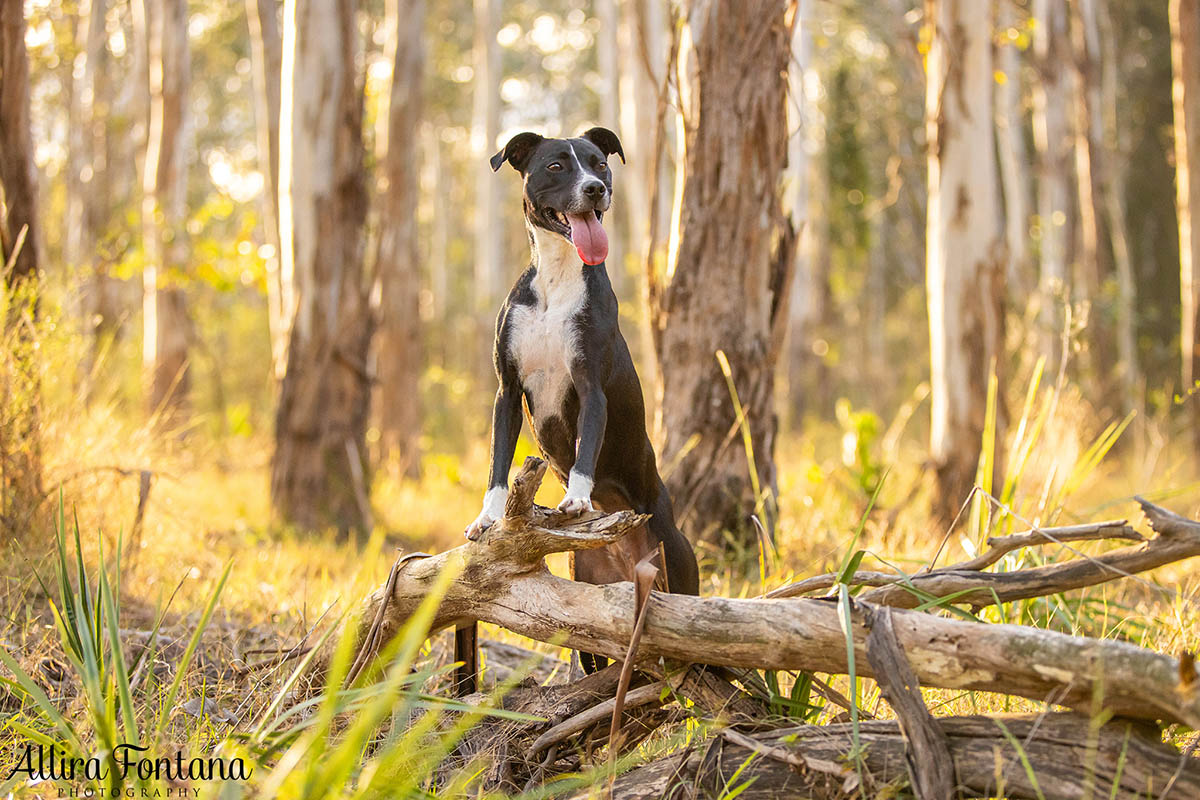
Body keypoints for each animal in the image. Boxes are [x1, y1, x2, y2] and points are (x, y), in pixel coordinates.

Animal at [463, 125, 700, 614]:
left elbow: (585, 445)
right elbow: (497, 464)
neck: (557, 278)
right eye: (556, 165)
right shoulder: (507, 392)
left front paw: (576, 496)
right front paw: (488, 518)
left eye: (600, 163)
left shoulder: (591, 387)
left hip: (677, 567)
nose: (595, 189)